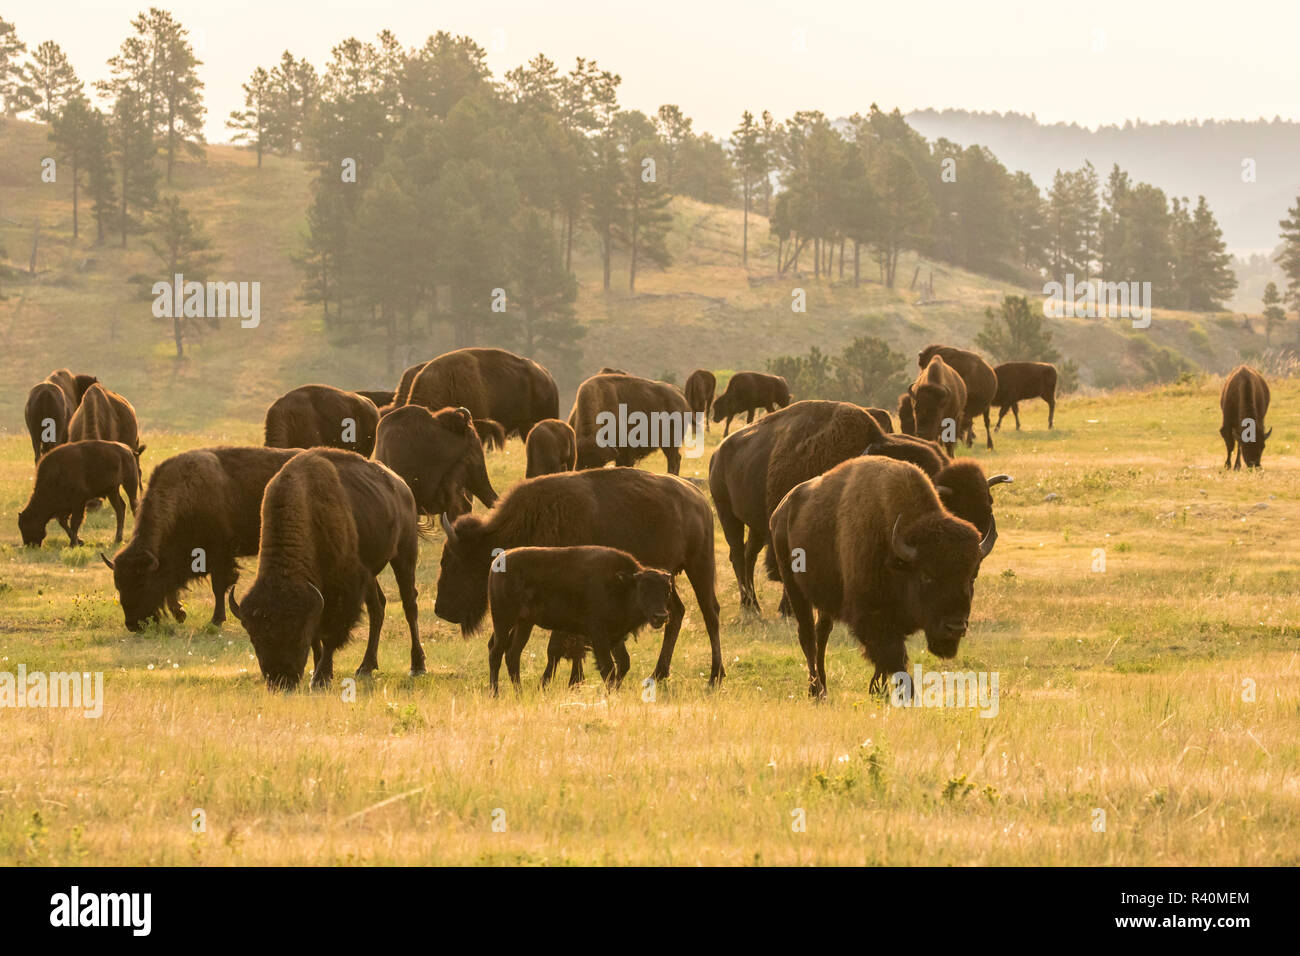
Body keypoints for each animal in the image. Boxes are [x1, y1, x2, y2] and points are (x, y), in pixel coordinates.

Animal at [102, 446, 298, 631]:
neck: (184, 493)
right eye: (118, 586)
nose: (133, 625)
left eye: (142, 584)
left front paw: (216, 620)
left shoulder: (220, 555)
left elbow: (218, 587)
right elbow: (172, 587)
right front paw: (181, 614)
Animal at [229, 448, 426, 690]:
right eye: (255, 638)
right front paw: (320, 671)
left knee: (409, 605)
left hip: (404, 555)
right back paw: (366, 667)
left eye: (298, 637)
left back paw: (417, 666)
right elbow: (319, 636)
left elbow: (330, 634)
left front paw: (320, 677)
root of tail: (402, 486)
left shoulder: (343, 592)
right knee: (378, 609)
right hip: (371, 576)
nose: (281, 681)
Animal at [769, 457, 997, 697]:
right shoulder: (872, 619)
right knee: (807, 636)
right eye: (926, 575)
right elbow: (893, 658)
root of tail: (781, 510)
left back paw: (824, 686)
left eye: (972, 576)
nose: (955, 628)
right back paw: (816, 692)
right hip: (794, 587)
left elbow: (884, 662)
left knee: (822, 633)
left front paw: (879, 690)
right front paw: (901, 694)